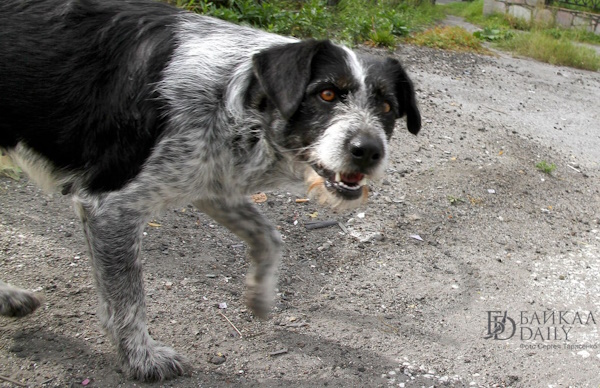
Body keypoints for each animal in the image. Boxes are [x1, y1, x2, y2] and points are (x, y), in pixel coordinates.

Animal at [0, 0, 422, 382]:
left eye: (387, 106)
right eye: (327, 94)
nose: (369, 151)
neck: (232, 94)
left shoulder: (212, 183)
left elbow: (270, 236)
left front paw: (260, 295)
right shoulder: (110, 208)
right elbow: (126, 299)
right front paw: (141, 359)